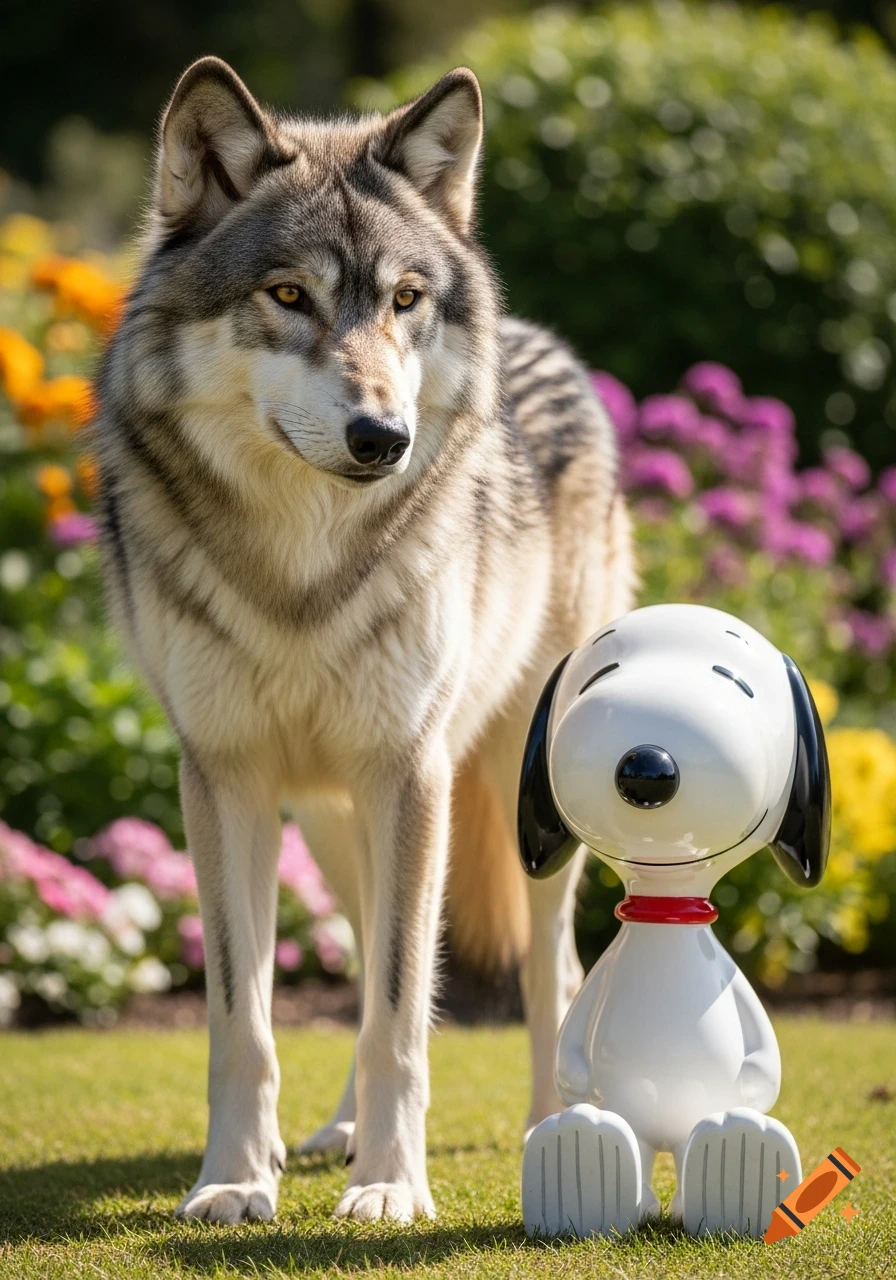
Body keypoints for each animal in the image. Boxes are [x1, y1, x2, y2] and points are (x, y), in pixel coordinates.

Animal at [94, 55, 634, 1224]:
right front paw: (234, 1177)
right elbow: (248, 1017)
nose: (381, 437)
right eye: (288, 294)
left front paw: (391, 1185)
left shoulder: (408, 771)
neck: (300, 562)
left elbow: (400, 1011)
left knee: (551, 970)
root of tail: (545, 343)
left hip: (518, 792)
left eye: (404, 301)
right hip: (336, 817)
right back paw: (334, 1132)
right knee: (365, 951)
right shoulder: (228, 779)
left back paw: (552, 1127)